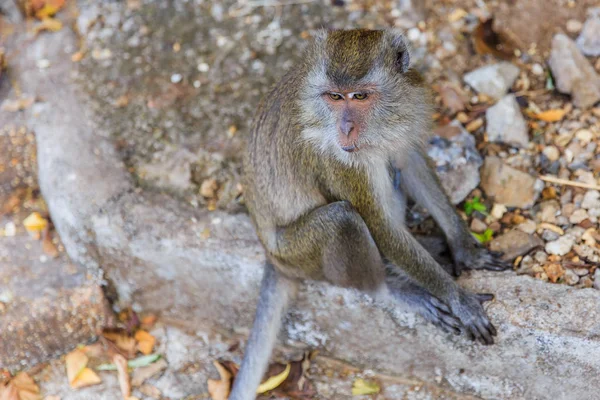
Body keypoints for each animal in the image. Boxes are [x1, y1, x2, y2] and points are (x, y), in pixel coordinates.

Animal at [227, 29, 508, 398]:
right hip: (299, 255)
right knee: (343, 219)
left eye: (359, 96)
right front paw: (457, 298)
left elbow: (409, 159)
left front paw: (465, 248)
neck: (382, 121)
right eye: (334, 97)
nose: (345, 129)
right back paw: (391, 288)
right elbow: (377, 223)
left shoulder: (411, 98)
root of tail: (272, 257)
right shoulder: (337, 158)